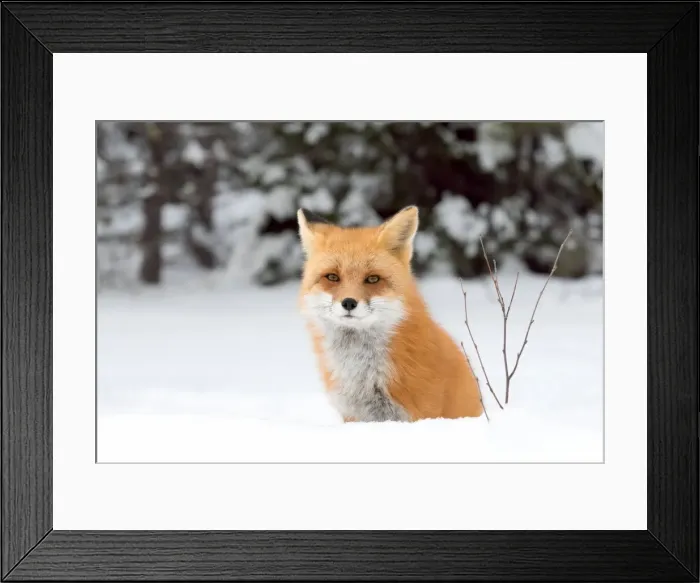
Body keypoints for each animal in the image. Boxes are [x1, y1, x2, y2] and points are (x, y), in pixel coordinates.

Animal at [296, 205, 484, 423]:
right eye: (332, 277)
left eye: (373, 279)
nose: (349, 303)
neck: (362, 373)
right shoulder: (353, 415)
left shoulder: (417, 413)